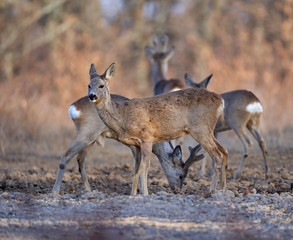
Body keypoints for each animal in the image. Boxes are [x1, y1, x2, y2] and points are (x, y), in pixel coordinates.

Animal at [52, 94, 203, 195]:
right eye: (181, 175)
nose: (178, 190)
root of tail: (73, 108)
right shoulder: (134, 145)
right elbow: (139, 166)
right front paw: (140, 191)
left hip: (90, 138)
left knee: (80, 159)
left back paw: (89, 191)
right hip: (87, 133)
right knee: (66, 155)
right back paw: (55, 191)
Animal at [88, 62, 227, 196]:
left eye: (101, 86)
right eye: (89, 85)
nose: (92, 96)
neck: (123, 116)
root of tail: (221, 101)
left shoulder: (147, 137)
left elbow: (145, 166)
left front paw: (145, 193)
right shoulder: (136, 144)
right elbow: (136, 168)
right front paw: (133, 194)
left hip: (200, 128)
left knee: (217, 155)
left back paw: (211, 191)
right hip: (207, 130)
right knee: (224, 151)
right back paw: (222, 189)